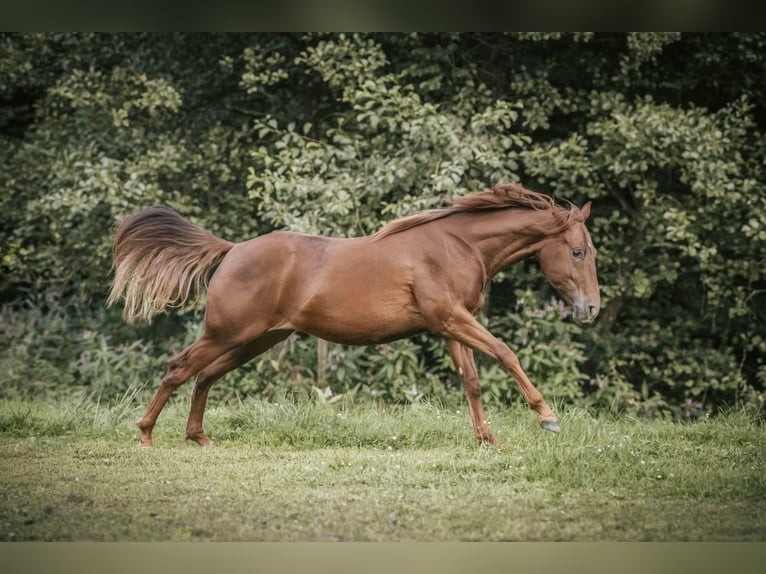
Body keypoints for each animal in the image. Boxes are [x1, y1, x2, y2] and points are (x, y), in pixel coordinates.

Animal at [108, 183, 600, 447]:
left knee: (205, 375)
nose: (591, 309)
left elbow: (472, 382)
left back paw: (199, 438)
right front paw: (547, 416)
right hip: (226, 333)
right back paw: (145, 435)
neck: (458, 245)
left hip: (255, 339)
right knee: (179, 368)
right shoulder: (452, 319)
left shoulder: (450, 326)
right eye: (578, 251)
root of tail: (232, 250)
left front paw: (487, 440)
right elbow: (506, 352)